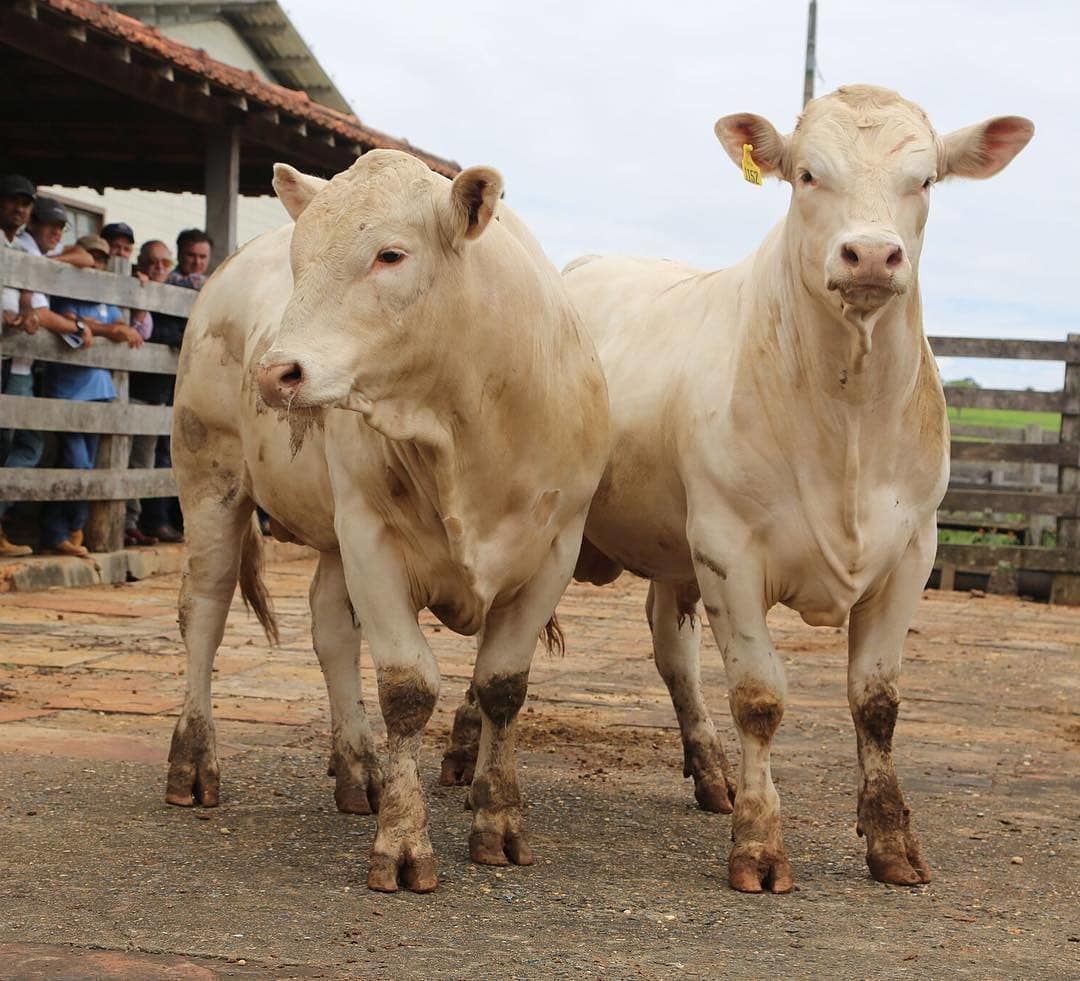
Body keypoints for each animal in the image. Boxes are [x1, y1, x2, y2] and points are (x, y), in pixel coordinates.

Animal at [165, 149, 613, 894]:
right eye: (299, 258)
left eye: (390, 255)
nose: (276, 373)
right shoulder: (372, 537)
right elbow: (407, 688)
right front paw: (403, 842)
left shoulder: (556, 549)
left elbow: (503, 687)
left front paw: (498, 821)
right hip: (210, 479)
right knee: (204, 612)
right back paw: (194, 759)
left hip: (326, 526)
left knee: (329, 629)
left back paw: (358, 767)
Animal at [565, 88, 1028, 894]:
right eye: (807, 175)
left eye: (926, 180)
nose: (870, 254)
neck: (848, 417)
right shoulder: (729, 550)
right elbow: (759, 699)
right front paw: (758, 845)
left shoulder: (913, 549)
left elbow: (876, 703)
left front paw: (892, 840)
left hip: (673, 552)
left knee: (672, 652)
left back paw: (711, 775)